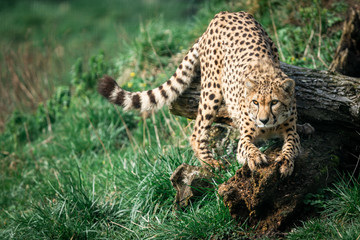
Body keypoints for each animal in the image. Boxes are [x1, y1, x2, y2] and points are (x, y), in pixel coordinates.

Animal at [98, 10, 300, 176]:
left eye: (274, 102)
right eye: (255, 102)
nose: (263, 120)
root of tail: (225, 13)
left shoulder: (292, 131)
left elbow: (291, 145)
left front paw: (285, 160)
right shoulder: (245, 138)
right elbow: (247, 147)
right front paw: (256, 157)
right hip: (212, 88)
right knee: (197, 132)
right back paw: (211, 163)